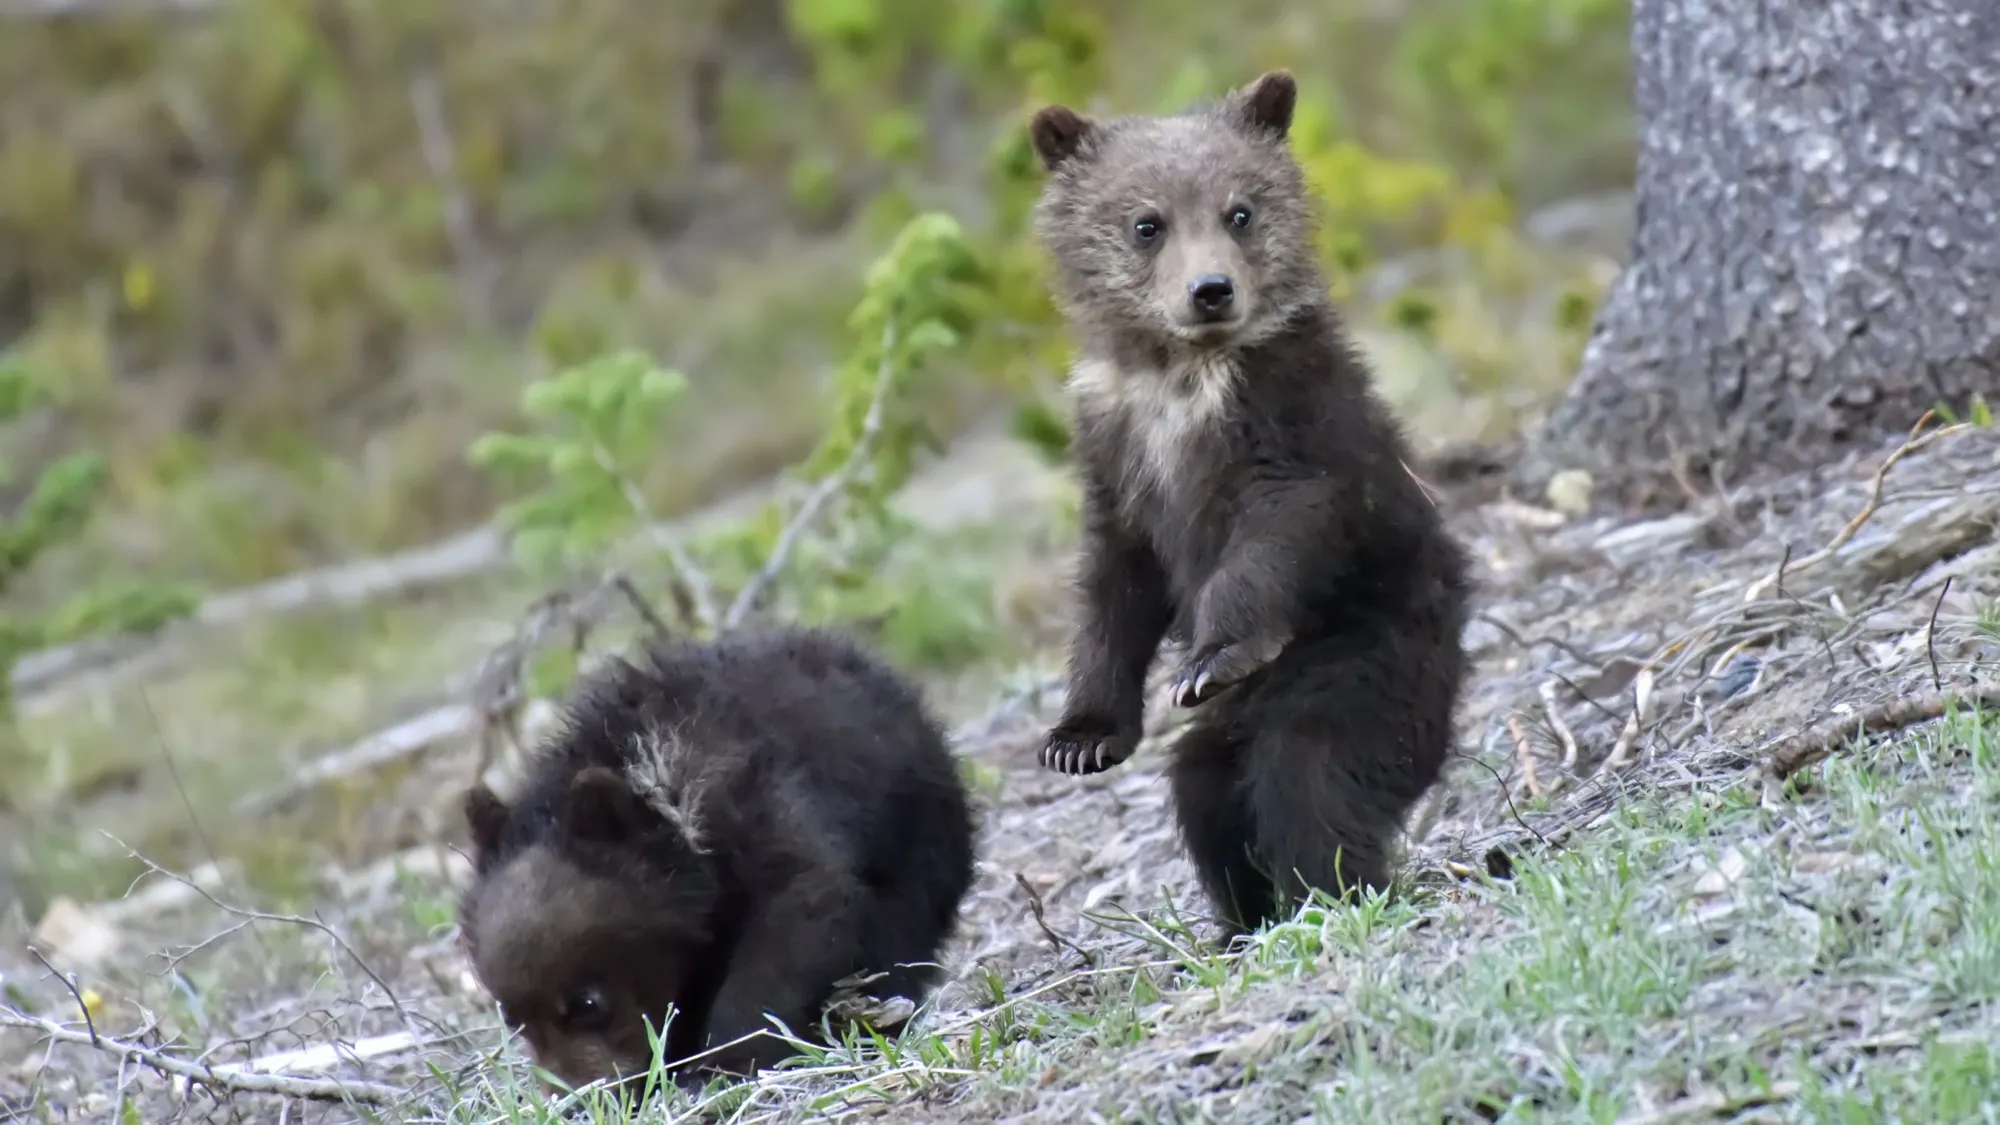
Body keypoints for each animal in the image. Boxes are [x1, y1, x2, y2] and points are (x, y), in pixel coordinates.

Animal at [456, 626, 977, 1091]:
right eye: (511, 1016)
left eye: (588, 1002)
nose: (575, 1100)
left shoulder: (764, 815)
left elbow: (799, 916)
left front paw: (724, 1060)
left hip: (917, 844)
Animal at [1026, 69, 1473, 934]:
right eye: (1147, 223)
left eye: (1240, 210)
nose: (1211, 290)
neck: (1181, 373)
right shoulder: (1117, 449)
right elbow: (1113, 586)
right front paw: (1080, 737)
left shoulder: (1288, 417)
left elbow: (1278, 529)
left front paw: (1210, 656)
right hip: (1242, 726)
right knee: (1205, 789)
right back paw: (1245, 916)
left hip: (1371, 654)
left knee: (1311, 768)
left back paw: (1334, 890)